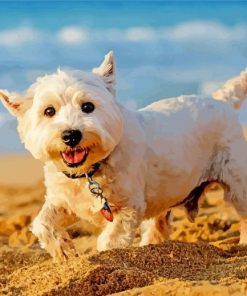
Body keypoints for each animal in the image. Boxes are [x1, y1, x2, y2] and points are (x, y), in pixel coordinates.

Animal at [1, 52, 247, 260]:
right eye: (49, 111)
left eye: (88, 106)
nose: (71, 135)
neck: (89, 171)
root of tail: (222, 101)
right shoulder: (65, 202)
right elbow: (42, 223)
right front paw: (64, 252)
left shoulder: (128, 208)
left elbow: (110, 241)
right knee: (158, 225)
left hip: (236, 181)